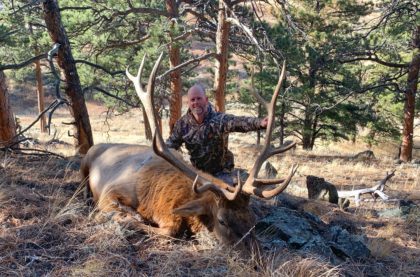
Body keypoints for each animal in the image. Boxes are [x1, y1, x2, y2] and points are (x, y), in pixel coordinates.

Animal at [80, 52, 296, 253]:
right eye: (222, 220)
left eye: (252, 220)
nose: (258, 258)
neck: (154, 198)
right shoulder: (111, 192)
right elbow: (163, 229)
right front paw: (125, 217)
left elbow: (169, 229)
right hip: (85, 164)